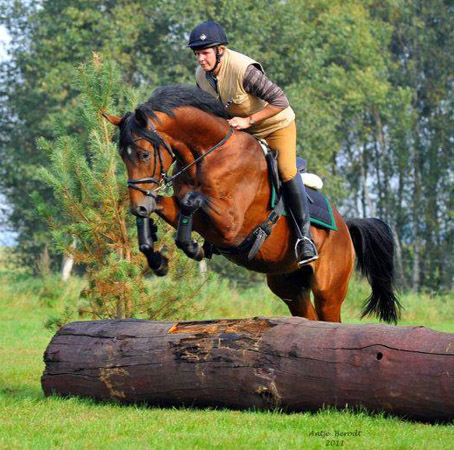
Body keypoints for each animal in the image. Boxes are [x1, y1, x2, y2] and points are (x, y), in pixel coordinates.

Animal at [103, 84, 400, 324]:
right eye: (122, 156)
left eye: (143, 154)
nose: (137, 206)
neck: (208, 154)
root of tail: (345, 227)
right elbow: (162, 205)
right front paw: (156, 257)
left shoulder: (231, 225)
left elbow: (189, 201)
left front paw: (191, 246)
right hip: (289, 286)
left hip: (329, 289)